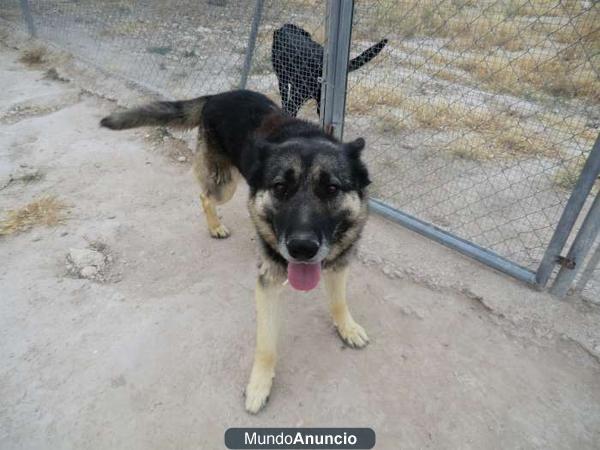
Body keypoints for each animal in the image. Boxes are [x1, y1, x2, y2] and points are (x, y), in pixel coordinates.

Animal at [101, 89, 372, 414]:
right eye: (280, 187)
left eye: (331, 188)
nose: (302, 249)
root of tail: (217, 95)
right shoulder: (268, 284)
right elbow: (266, 345)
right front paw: (259, 385)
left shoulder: (340, 262)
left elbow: (338, 302)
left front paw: (347, 327)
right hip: (225, 185)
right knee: (205, 196)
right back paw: (216, 226)